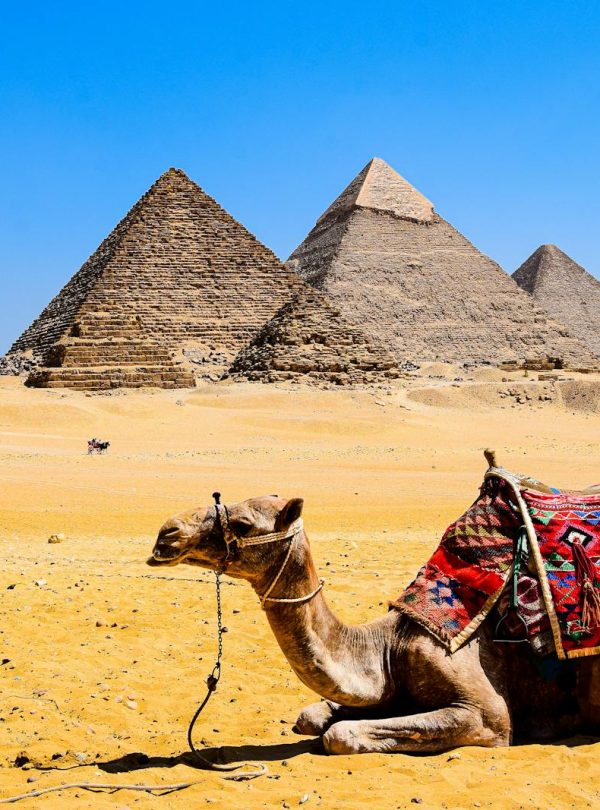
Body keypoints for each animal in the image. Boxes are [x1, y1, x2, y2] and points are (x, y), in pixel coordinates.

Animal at [147, 478, 600, 755]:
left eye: (242, 523)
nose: (166, 534)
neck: (388, 648)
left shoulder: (488, 716)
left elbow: (339, 735)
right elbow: (311, 716)